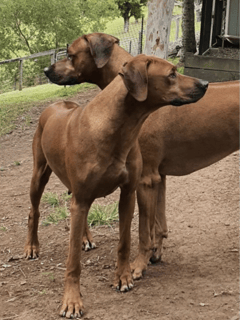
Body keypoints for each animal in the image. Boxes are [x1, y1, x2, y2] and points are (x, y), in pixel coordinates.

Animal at [24, 53, 208, 318]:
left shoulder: (128, 193)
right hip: (39, 174)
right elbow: (73, 261)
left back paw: (85, 238)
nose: (205, 83)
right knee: (34, 211)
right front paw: (71, 301)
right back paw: (31, 246)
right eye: (172, 74)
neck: (117, 128)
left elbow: (124, 242)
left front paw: (123, 278)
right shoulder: (82, 198)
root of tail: (56, 104)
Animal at [44, 31, 239, 278]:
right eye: (172, 74)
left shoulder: (145, 179)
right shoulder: (159, 177)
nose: (45, 70)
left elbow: (143, 231)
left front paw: (137, 265)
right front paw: (155, 254)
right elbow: (159, 225)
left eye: (70, 55)